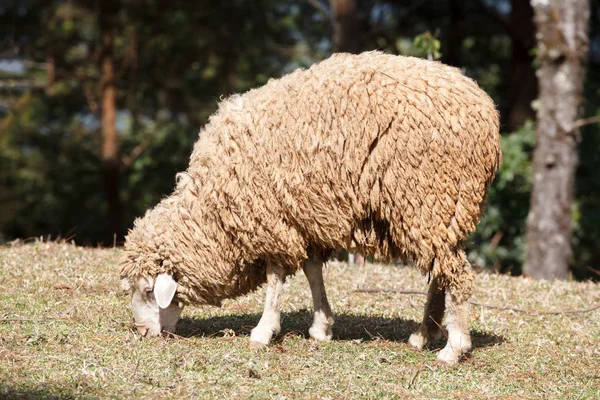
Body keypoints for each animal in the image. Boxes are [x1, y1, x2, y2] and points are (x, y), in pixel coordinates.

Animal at [119, 50, 500, 366]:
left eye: (149, 290)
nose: (143, 333)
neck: (214, 215)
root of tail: (487, 113)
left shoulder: (271, 219)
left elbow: (275, 278)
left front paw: (263, 331)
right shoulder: (304, 216)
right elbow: (312, 270)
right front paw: (321, 326)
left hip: (429, 198)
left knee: (457, 276)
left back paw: (454, 348)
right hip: (441, 211)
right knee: (441, 272)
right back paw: (424, 334)